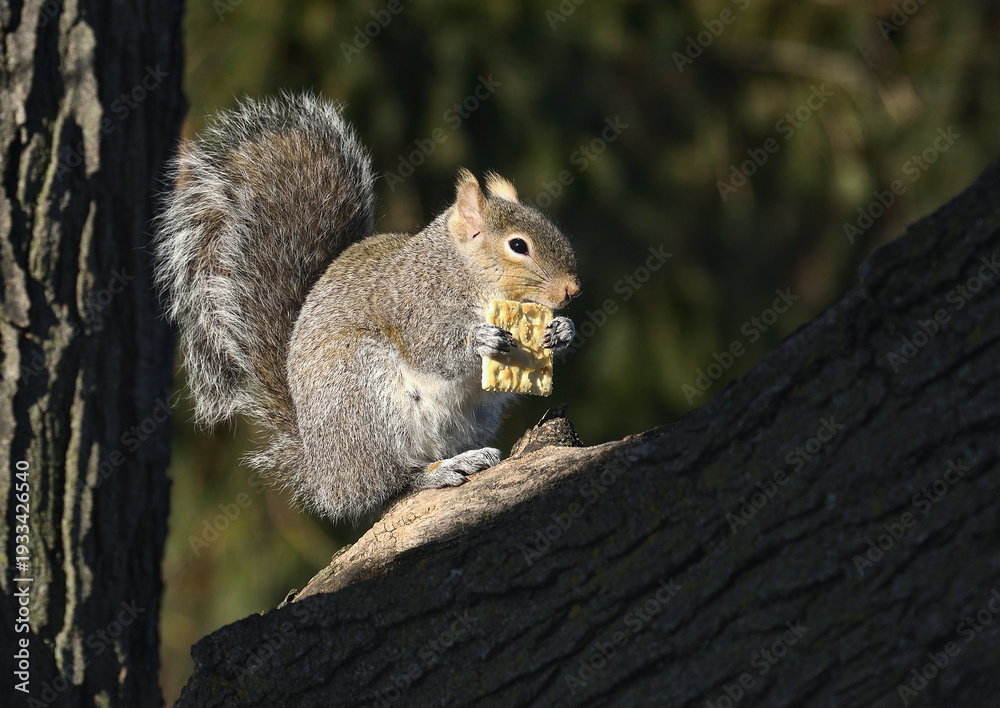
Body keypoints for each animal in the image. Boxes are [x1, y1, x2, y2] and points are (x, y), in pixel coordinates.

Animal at [154, 92, 581, 522]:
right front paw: (482, 340)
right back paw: (437, 471)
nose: (572, 290)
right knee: (389, 484)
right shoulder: (415, 303)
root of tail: (323, 473)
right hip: (366, 398)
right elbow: (431, 351)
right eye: (518, 245)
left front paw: (561, 331)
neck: (462, 271)